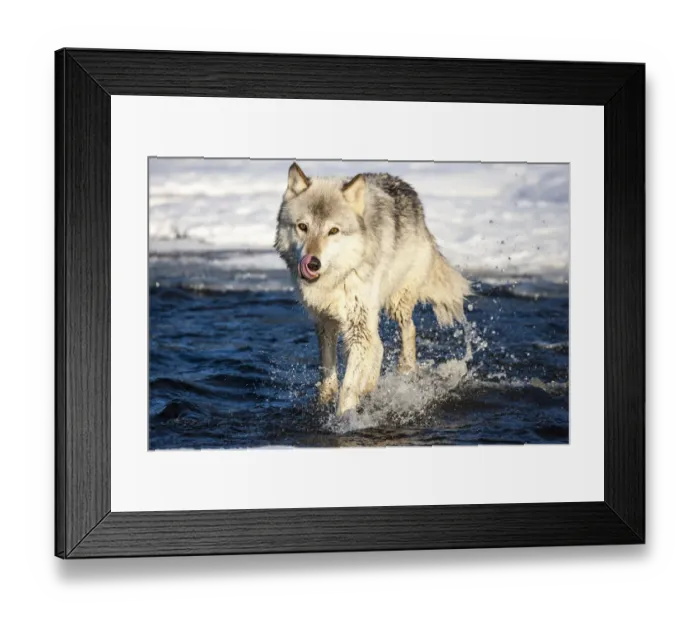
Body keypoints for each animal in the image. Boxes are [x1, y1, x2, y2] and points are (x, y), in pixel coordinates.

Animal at [274, 163, 471, 415]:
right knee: (379, 346)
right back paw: (370, 385)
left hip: (395, 303)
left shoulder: (358, 326)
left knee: (409, 329)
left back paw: (405, 369)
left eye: (333, 231)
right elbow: (328, 370)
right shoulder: (325, 321)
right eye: (302, 227)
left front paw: (344, 417)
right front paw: (325, 399)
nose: (313, 263)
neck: (336, 279)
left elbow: (348, 386)